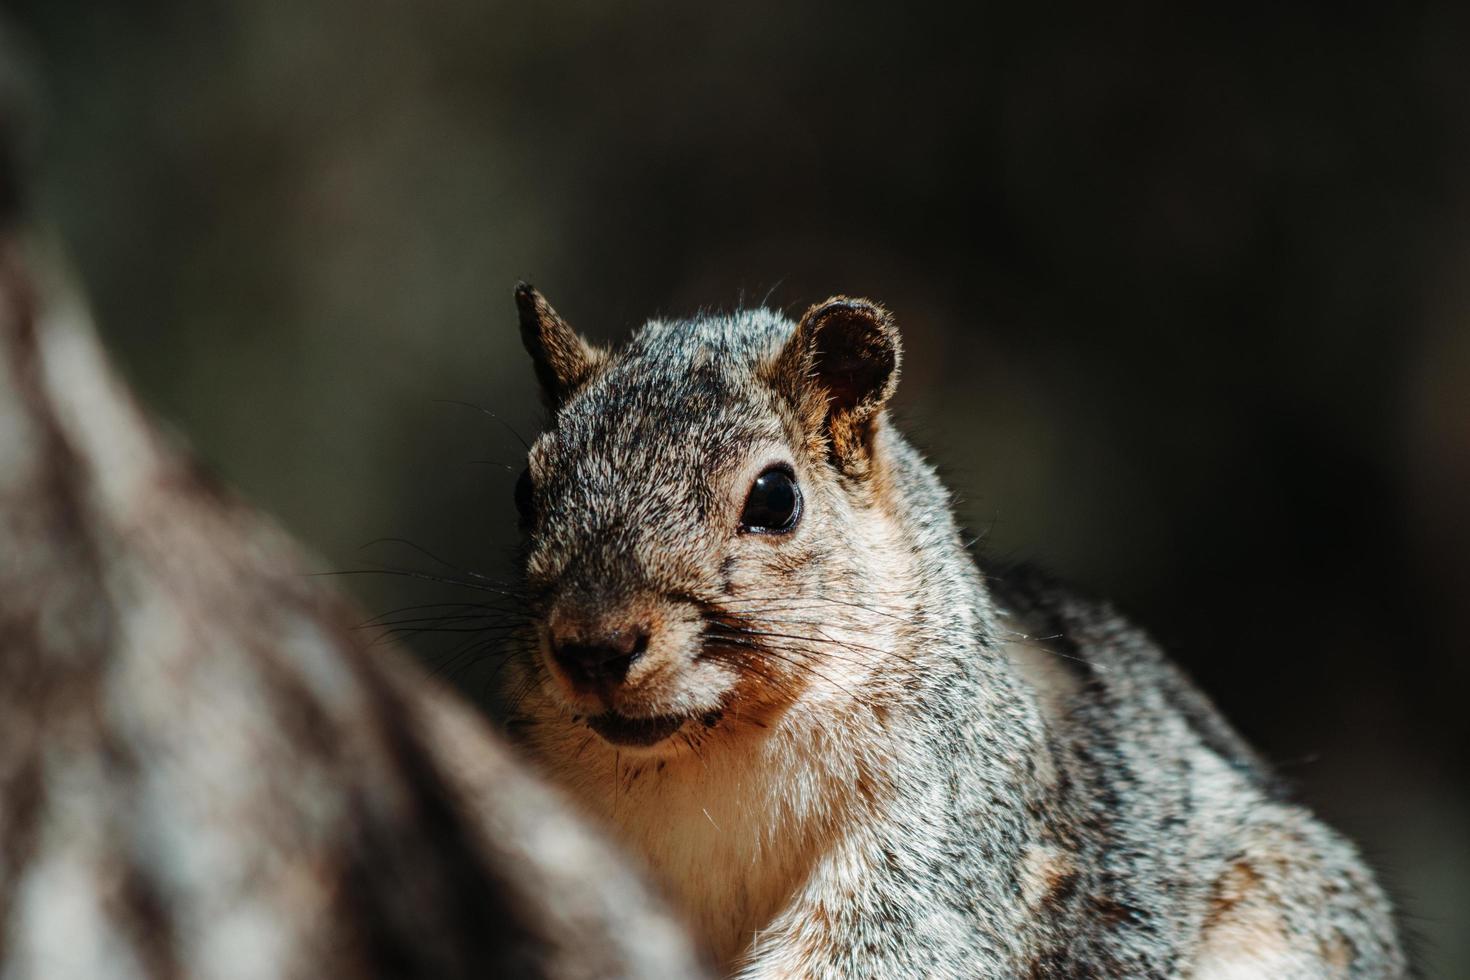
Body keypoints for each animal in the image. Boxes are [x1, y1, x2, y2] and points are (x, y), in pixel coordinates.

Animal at [499, 285, 1405, 980]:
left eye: (775, 499)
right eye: (526, 490)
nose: (595, 644)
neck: (708, 758)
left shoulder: (948, 823)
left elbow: (894, 947)